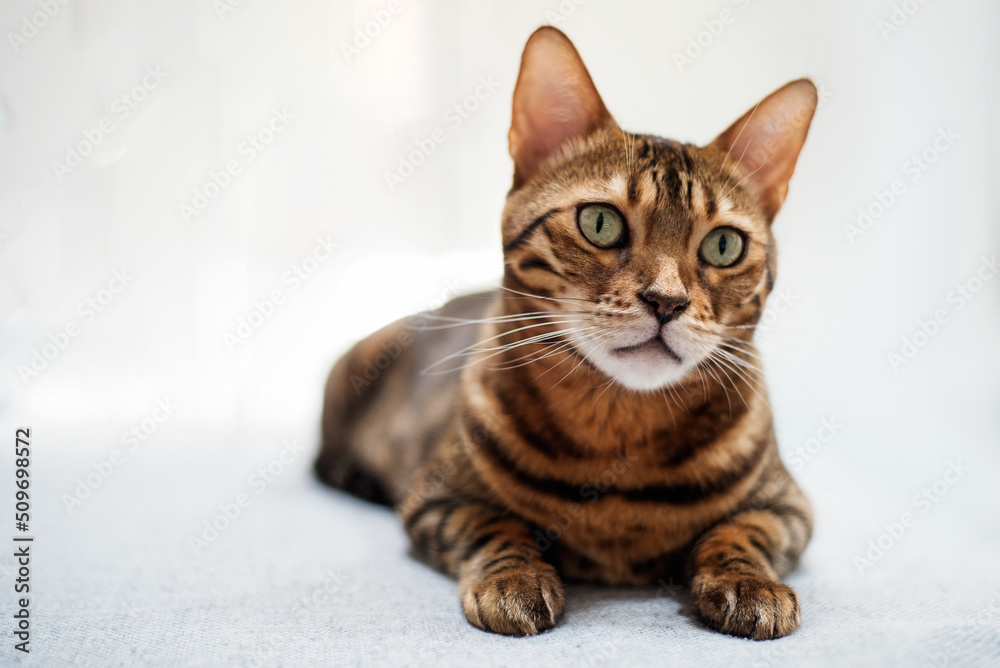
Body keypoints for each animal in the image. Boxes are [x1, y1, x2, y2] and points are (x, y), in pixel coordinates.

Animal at [316, 26, 816, 640]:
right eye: (600, 222)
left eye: (724, 245)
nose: (667, 301)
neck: (620, 438)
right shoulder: (435, 497)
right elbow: (496, 525)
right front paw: (516, 577)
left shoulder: (789, 507)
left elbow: (741, 532)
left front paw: (747, 582)